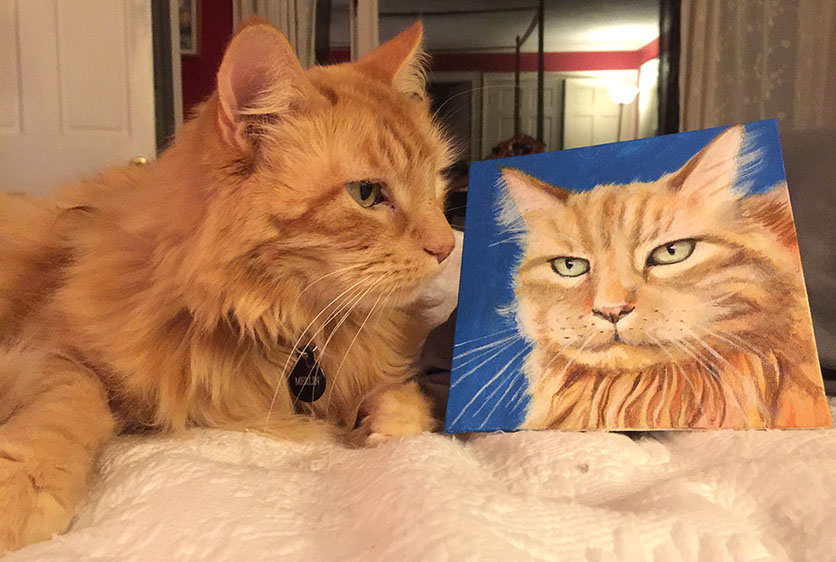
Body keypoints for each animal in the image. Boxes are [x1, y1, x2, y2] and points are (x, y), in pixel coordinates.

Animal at [0, 20, 455, 552]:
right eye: (366, 194)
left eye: (437, 184)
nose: (448, 246)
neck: (283, 327)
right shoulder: (50, 349)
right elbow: (71, 404)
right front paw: (24, 485)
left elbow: (414, 400)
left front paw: (393, 416)